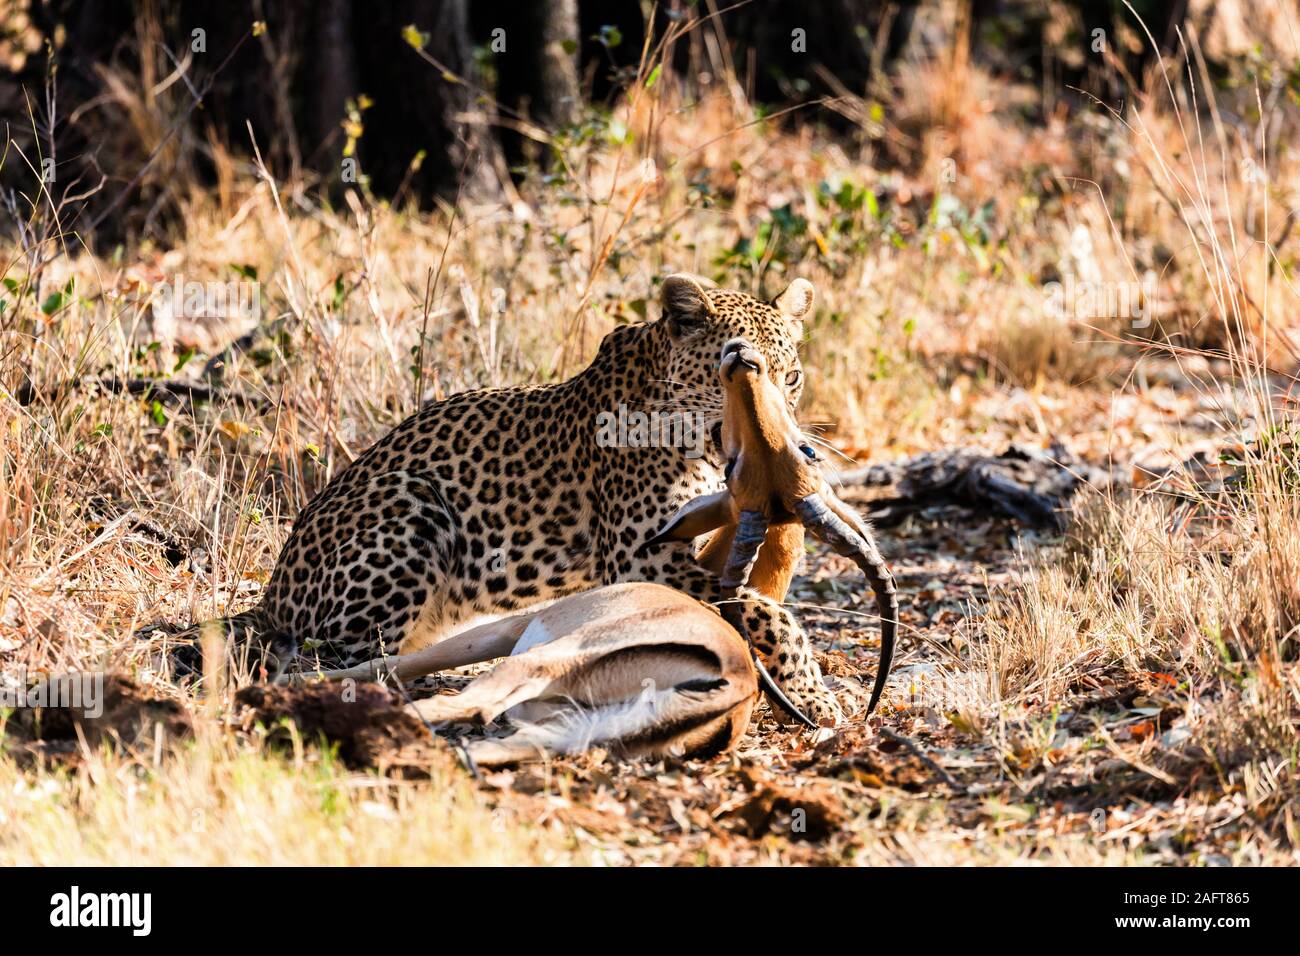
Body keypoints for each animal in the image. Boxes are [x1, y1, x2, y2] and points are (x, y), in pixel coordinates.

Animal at [167, 274, 842, 723]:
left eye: (792, 377)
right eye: (735, 368)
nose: (794, 443)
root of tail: (270, 599)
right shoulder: (640, 554)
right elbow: (762, 607)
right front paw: (815, 693)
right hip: (409, 505)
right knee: (324, 658)